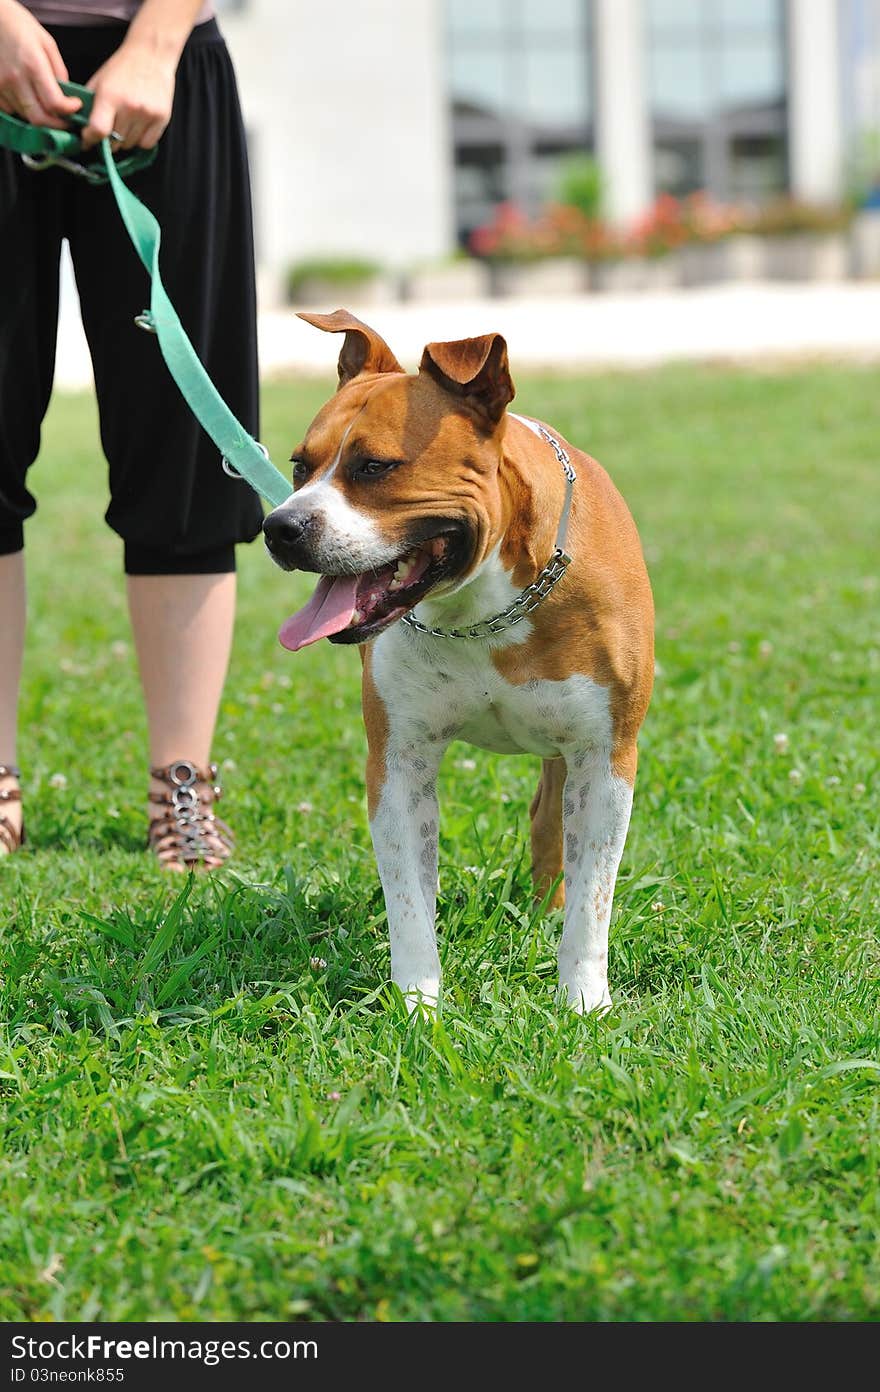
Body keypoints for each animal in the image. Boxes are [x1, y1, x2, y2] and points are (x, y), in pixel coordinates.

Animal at [263, 313, 654, 1013]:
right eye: (300, 466)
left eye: (374, 466)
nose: (279, 527)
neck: (483, 609)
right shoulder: (399, 762)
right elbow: (409, 900)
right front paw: (417, 1003)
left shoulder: (606, 757)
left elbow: (593, 898)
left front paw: (582, 999)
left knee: (553, 828)